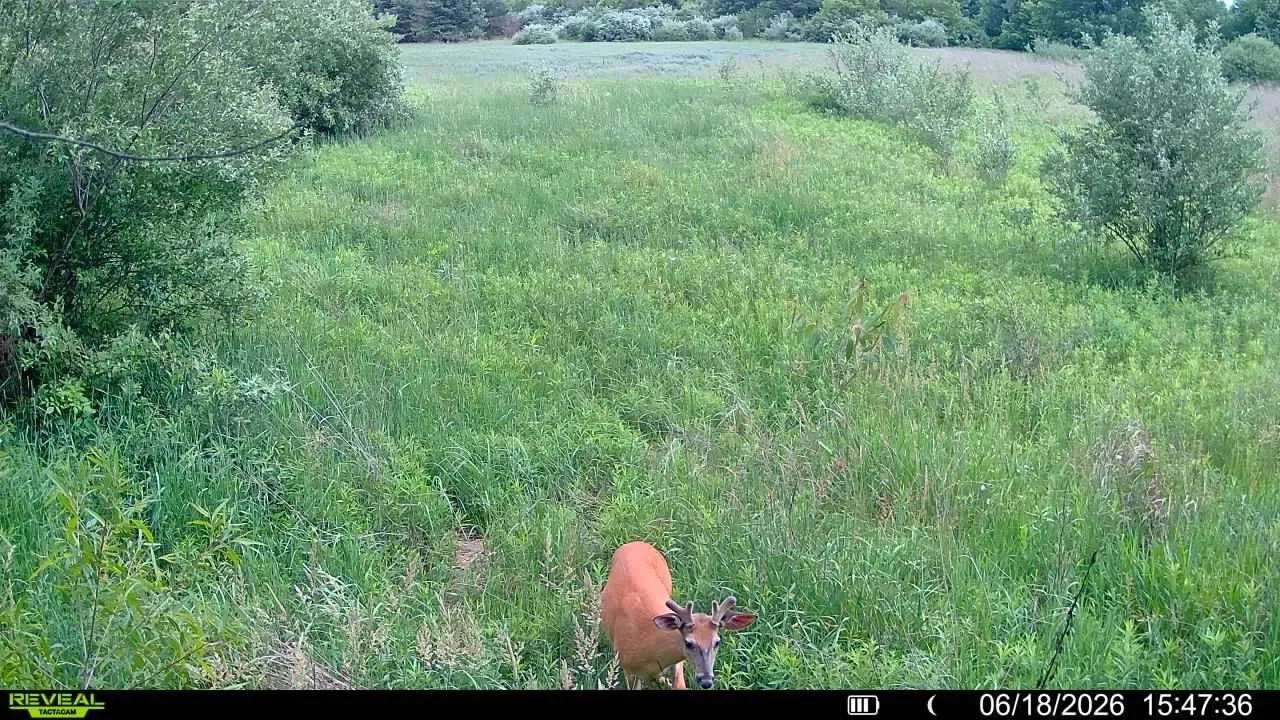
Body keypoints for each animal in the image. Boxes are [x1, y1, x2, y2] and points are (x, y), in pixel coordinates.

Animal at [599, 540, 757, 690]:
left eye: (717, 642)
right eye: (688, 643)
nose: (706, 681)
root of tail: (633, 543)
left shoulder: (678, 664)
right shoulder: (628, 668)